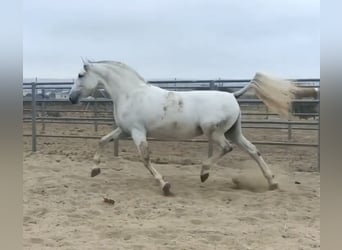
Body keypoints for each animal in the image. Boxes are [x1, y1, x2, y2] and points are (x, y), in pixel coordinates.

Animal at [69, 60, 300, 195]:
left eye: (80, 75)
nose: (71, 98)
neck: (130, 93)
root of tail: (233, 95)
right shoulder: (125, 131)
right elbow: (102, 141)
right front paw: (94, 170)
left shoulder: (137, 132)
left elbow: (145, 158)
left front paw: (165, 185)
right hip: (234, 132)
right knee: (253, 150)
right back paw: (271, 182)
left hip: (214, 132)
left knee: (227, 148)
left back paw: (204, 172)